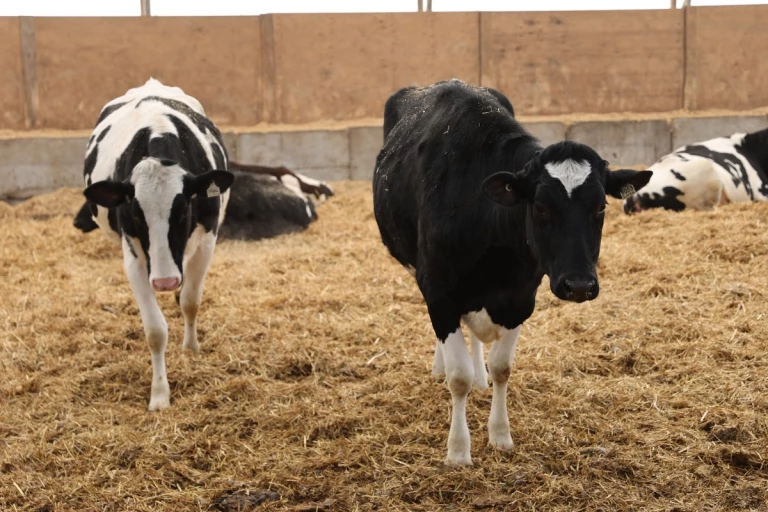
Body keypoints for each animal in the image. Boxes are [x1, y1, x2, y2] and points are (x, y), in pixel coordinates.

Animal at [80, 78, 234, 411]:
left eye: (183, 211)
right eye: (136, 213)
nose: (165, 282)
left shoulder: (207, 243)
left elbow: (190, 301)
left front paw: (191, 349)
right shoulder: (133, 258)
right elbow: (155, 330)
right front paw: (160, 393)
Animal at [373, 79, 652, 466]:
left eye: (600, 206)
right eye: (540, 207)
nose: (580, 285)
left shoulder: (520, 297)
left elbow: (502, 367)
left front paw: (500, 434)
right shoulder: (439, 291)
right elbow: (457, 376)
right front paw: (458, 451)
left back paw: (480, 377)